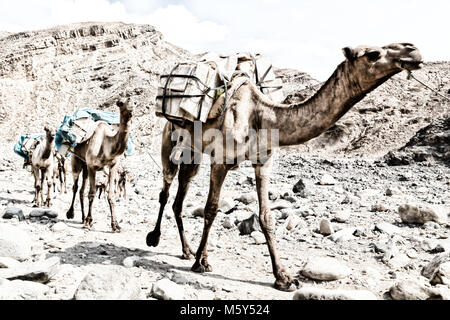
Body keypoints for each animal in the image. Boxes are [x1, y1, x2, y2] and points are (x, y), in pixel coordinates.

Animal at [66, 97, 134, 232]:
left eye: (133, 102)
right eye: (121, 103)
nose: (131, 109)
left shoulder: (113, 166)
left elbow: (111, 195)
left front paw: (115, 225)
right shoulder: (92, 166)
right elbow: (92, 193)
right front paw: (89, 221)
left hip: (85, 166)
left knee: (81, 190)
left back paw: (82, 218)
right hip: (77, 161)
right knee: (75, 187)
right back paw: (71, 213)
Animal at [147, 43, 422, 292]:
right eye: (373, 54)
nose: (413, 50)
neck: (260, 115)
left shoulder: (263, 161)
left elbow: (266, 217)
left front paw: (284, 278)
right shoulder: (221, 159)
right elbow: (211, 210)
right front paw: (201, 262)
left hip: (192, 153)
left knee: (179, 197)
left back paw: (186, 250)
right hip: (170, 139)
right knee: (165, 190)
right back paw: (155, 238)